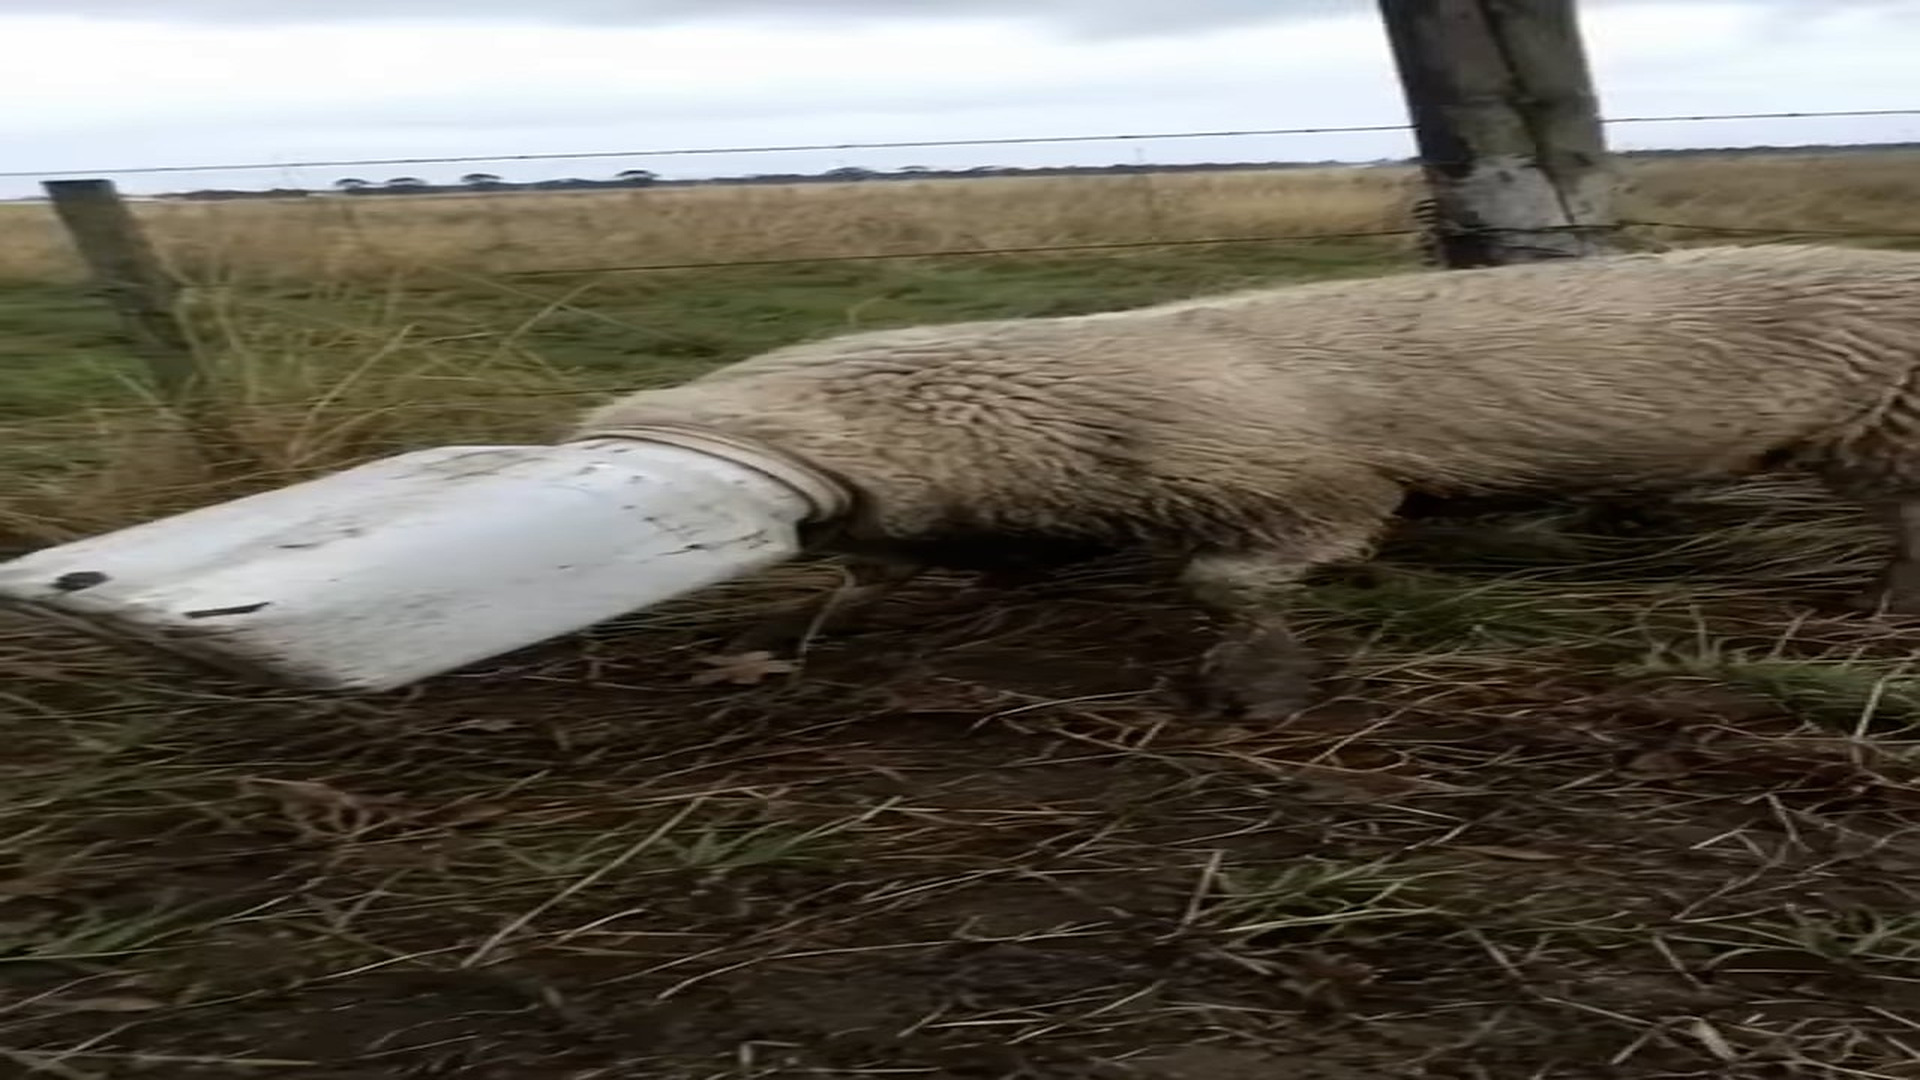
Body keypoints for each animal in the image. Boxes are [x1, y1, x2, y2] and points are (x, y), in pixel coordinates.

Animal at [573, 243, 1920, 720]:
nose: (596, 430)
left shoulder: (1308, 487)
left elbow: (1231, 582)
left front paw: (1258, 685)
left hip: (1896, 429)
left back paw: (1888, 610)